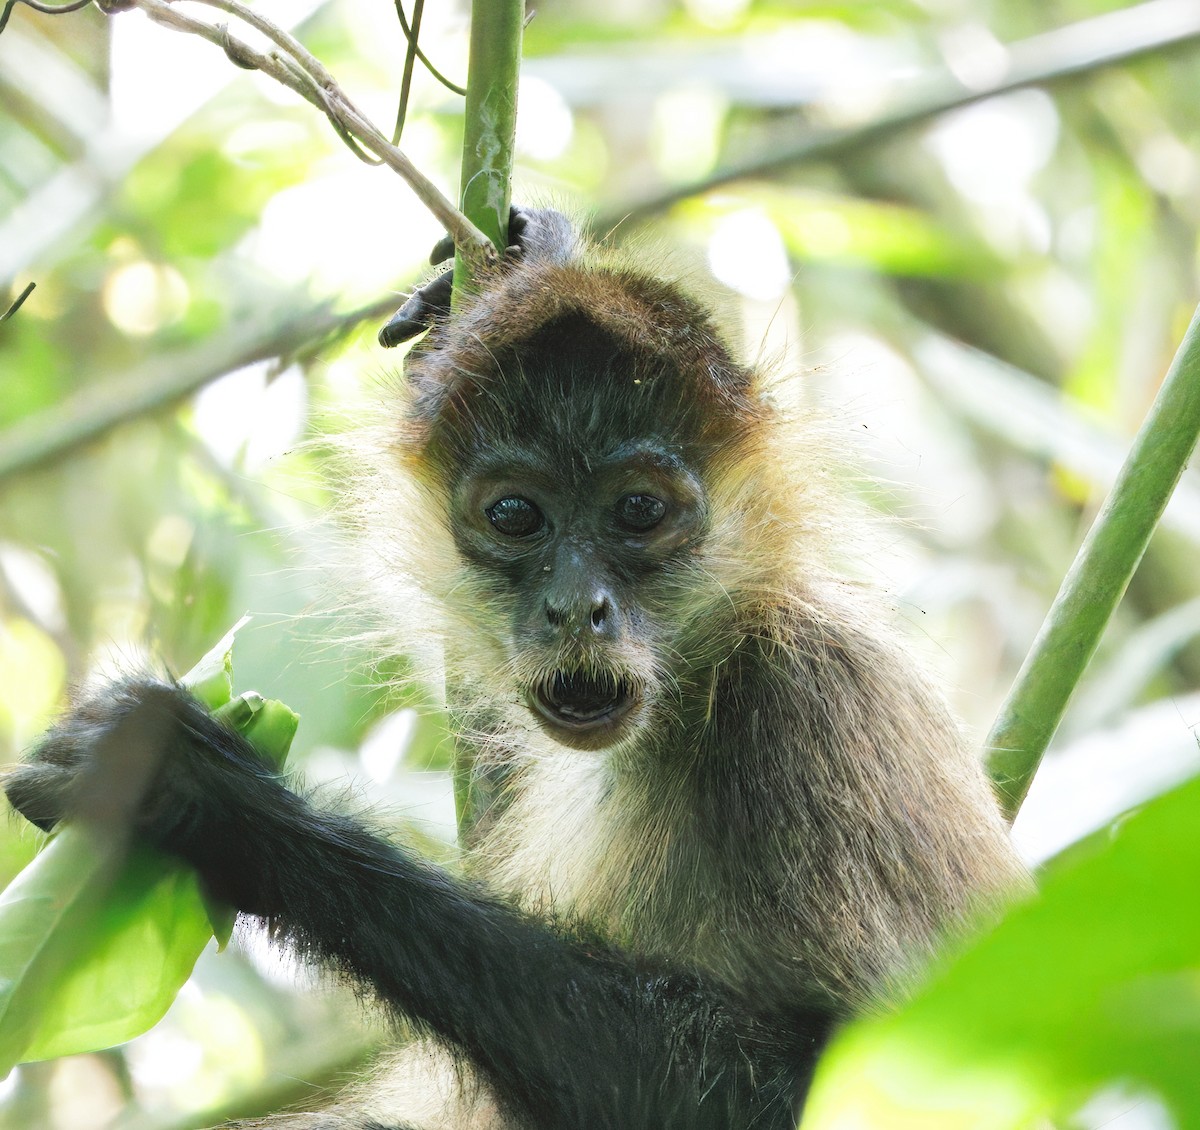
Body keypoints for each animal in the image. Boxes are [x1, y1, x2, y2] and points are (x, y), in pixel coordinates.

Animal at [5, 208, 1026, 1130]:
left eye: (639, 510)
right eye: (515, 517)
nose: (576, 607)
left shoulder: (815, 696)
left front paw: (212, 802)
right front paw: (529, 258)